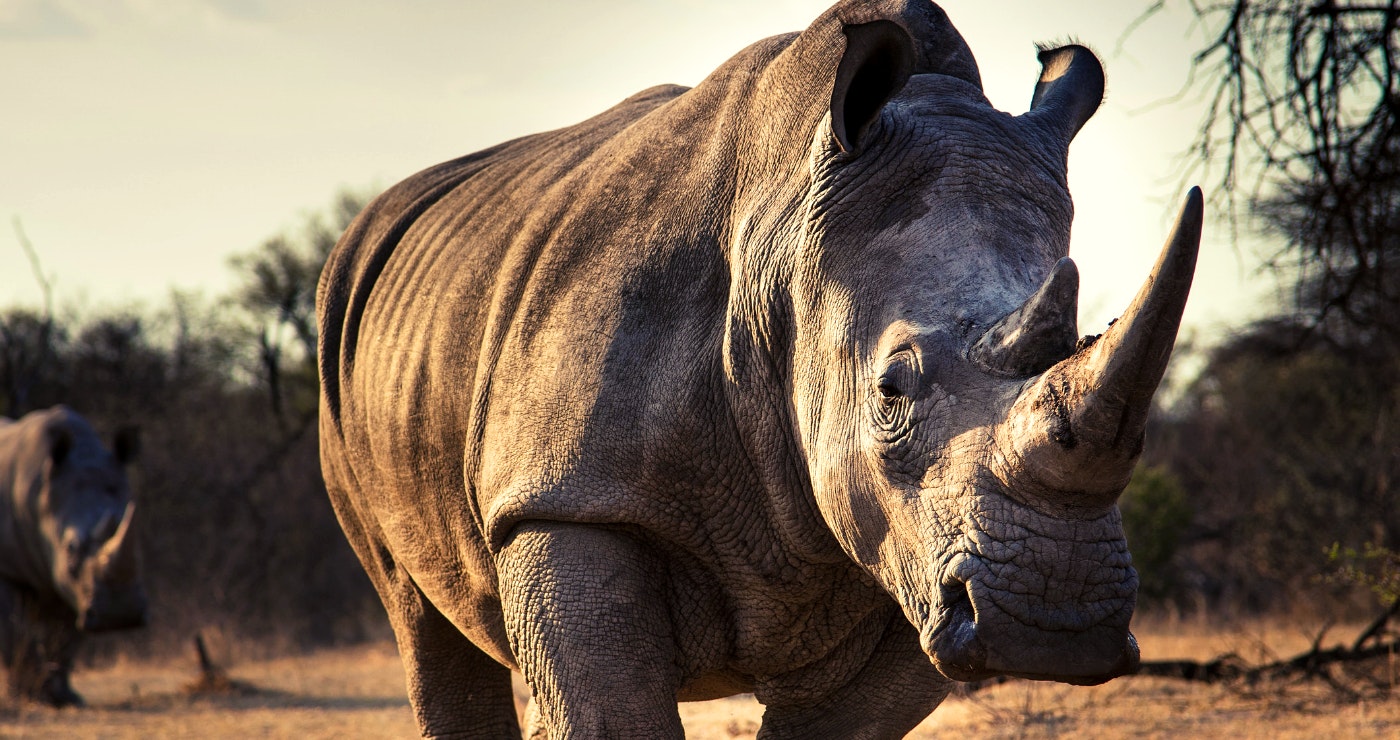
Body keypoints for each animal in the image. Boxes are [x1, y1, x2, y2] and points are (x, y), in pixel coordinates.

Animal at [0, 406, 144, 707]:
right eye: (70, 547)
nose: (121, 613)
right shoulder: (7, 567)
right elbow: (11, 628)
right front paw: (32, 697)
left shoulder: (78, 587)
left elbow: (65, 635)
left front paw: (63, 697)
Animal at [317, 0, 1203, 736]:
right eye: (890, 390)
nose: (1055, 623)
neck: (784, 243)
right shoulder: (567, 497)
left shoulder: (916, 561)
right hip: (345, 356)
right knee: (419, 617)